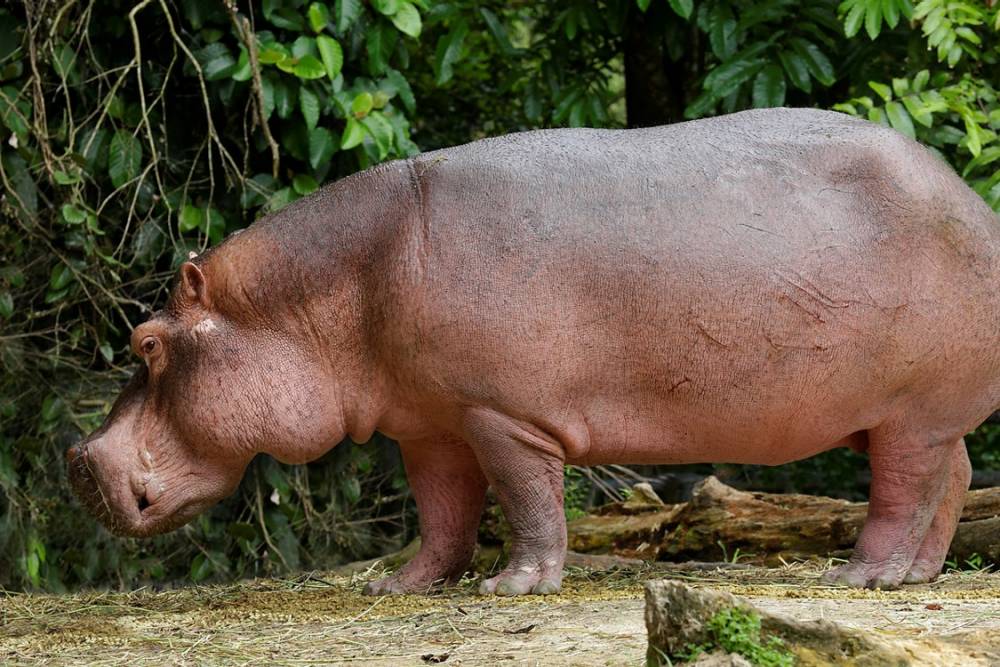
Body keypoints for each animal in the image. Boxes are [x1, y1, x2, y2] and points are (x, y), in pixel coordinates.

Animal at [68, 108, 1000, 595]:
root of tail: (973, 199)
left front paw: (510, 587)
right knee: (950, 477)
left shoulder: (502, 414)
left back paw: (861, 578)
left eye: (146, 340)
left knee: (903, 490)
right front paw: (400, 585)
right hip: (916, 413)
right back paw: (917, 577)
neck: (335, 287)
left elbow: (526, 503)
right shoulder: (430, 423)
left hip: (910, 410)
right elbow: (442, 512)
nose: (76, 460)